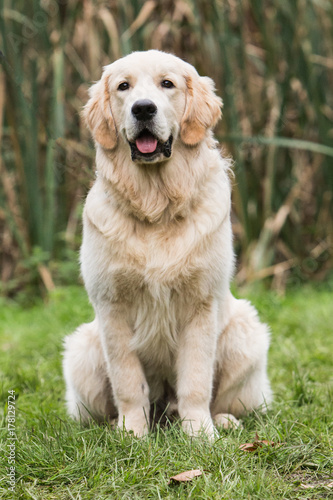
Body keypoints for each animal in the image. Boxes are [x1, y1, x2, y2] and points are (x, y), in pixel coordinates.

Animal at [61, 48, 270, 436]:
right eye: (123, 86)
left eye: (167, 84)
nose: (143, 109)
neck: (155, 207)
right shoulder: (112, 305)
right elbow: (128, 381)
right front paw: (132, 432)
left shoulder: (201, 304)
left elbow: (197, 380)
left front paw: (200, 434)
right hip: (82, 351)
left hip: (246, 335)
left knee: (227, 399)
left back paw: (222, 421)